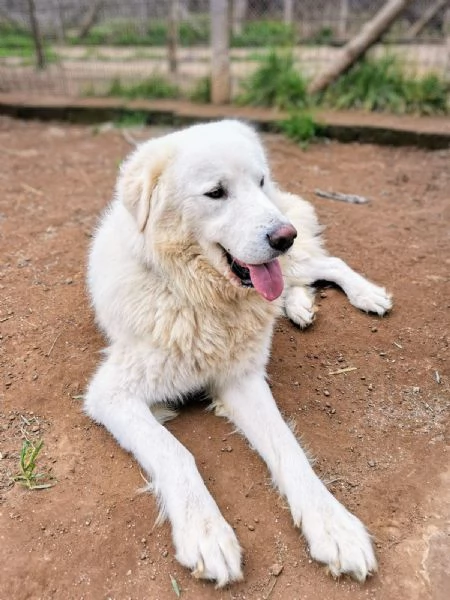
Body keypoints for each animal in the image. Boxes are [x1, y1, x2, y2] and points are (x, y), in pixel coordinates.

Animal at [83, 120, 390, 584]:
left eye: (258, 181)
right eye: (216, 193)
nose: (284, 236)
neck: (200, 299)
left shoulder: (243, 379)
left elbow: (288, 447)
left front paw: (334, 526)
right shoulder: (112, 394)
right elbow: (176, 453)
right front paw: (206, 532)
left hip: (292, 259)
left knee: (326, 263)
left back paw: (365, 294)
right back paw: (299, 307)